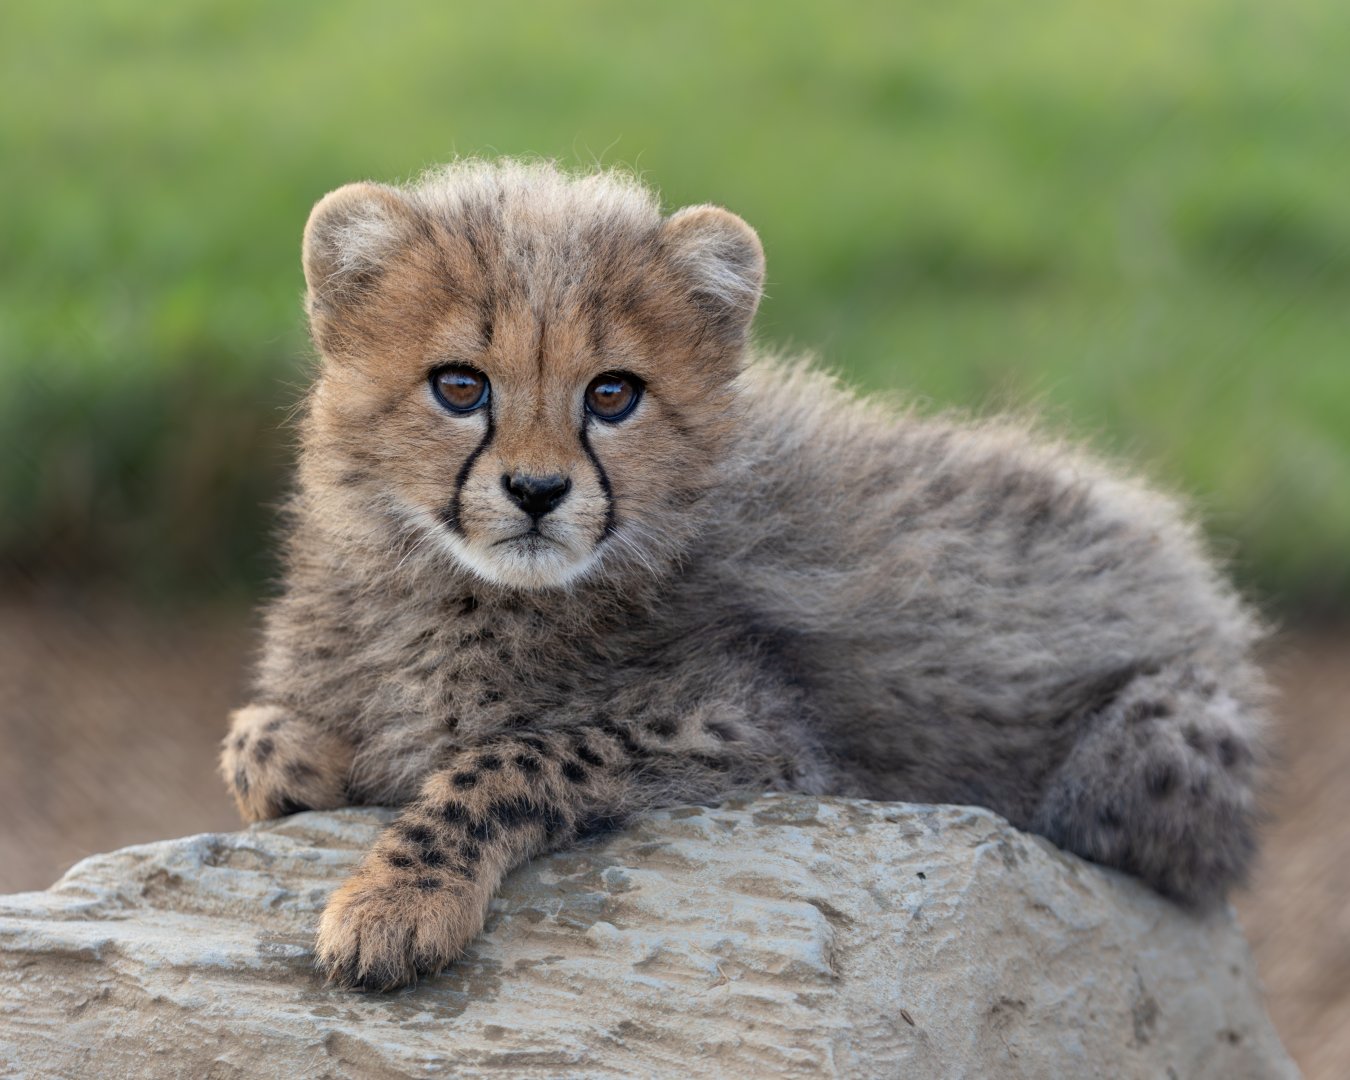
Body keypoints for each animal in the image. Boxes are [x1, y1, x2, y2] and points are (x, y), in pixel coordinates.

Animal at [220, 159, 1269, 991]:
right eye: (459, 385)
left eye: (613, 394)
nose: (537, 491)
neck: (465, 590)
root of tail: (1188, 567)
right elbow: (254, 740)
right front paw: (307, 758)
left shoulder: (760, 735)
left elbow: (517, 756)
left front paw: (397, 901)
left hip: (1149, 750)